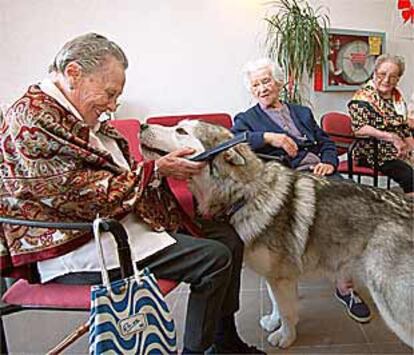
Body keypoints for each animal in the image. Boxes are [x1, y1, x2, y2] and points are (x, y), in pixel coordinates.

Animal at [141, 121, 412, 350]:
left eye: (181, 131)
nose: (142, 125)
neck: (246, 195)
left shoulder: (281, 277)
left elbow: (287, 311)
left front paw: (285, 337)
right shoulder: (274, 276)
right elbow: (277, 304)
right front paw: (273, 322)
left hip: (395, 309)